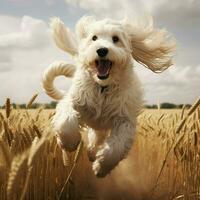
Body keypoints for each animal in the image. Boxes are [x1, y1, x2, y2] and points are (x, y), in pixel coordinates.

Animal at [41, 16, 175, 178]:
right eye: (94, 38)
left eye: (115, 38)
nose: (102, 50)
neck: (103, 88)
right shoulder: (72, 101)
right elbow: (66, 123)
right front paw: (69, 143)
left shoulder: (125, 121)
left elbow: (115, 148)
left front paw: (101, 168)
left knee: (97, 140)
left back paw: (92, 154)